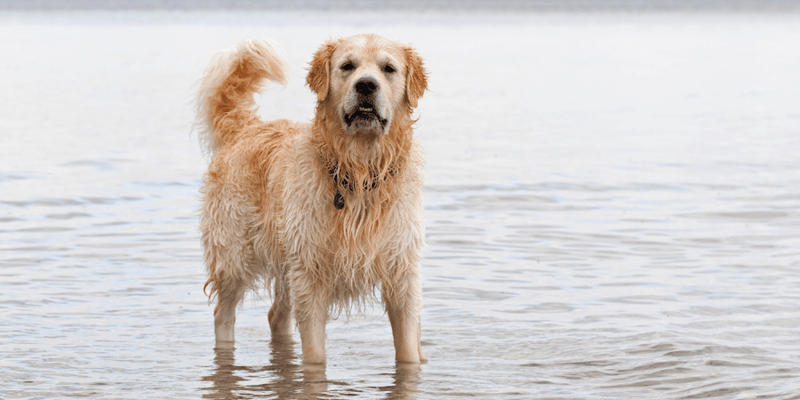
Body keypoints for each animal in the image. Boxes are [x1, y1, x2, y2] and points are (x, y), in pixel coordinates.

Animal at [195, 34, 428, 364]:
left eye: (388, 69)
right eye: (347, 66)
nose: (366, 86)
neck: (359, 172)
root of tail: (246, 127)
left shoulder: (402, 273)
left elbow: (408, 351)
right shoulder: (310, 275)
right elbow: (315, 355)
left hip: (286, 259)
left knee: (276, 316)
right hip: (234, 257)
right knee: (223, 314)